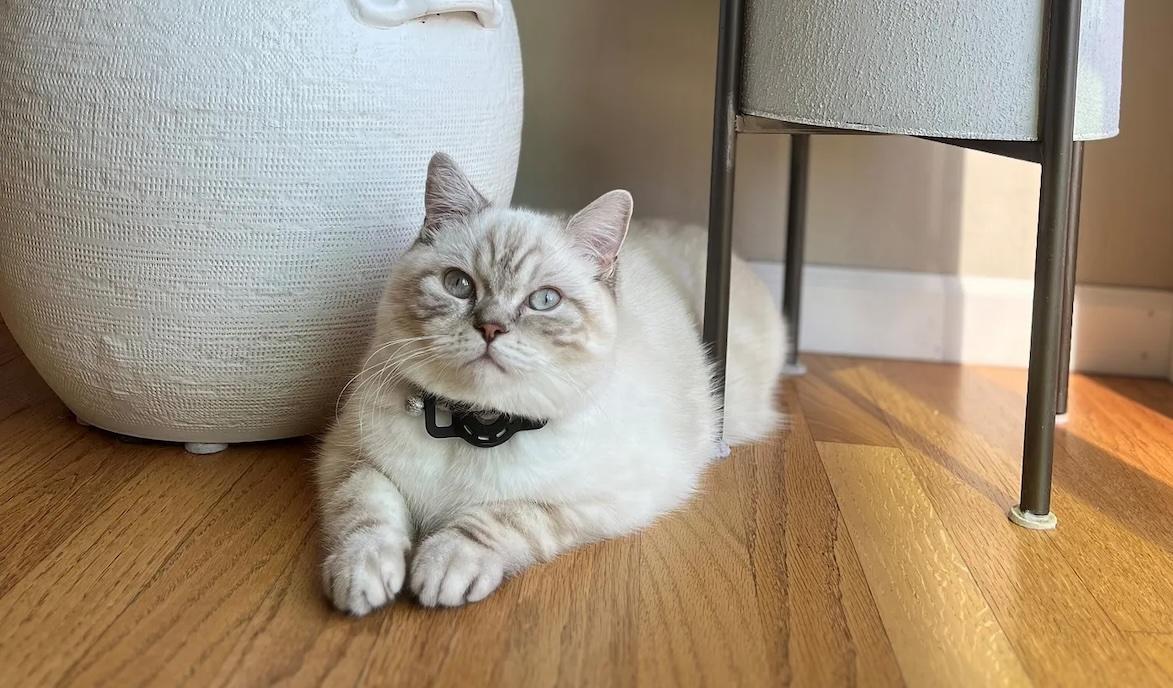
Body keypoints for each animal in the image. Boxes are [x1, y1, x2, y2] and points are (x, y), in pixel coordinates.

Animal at [316, 154, 783, 614]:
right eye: (458, 284)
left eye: (544, 300)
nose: (490, 328)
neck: (475, 424)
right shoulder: (349, 457)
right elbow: (367, 513)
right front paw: (362, 579)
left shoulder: (603, 500)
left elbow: (501, 517)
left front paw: (443, 565)